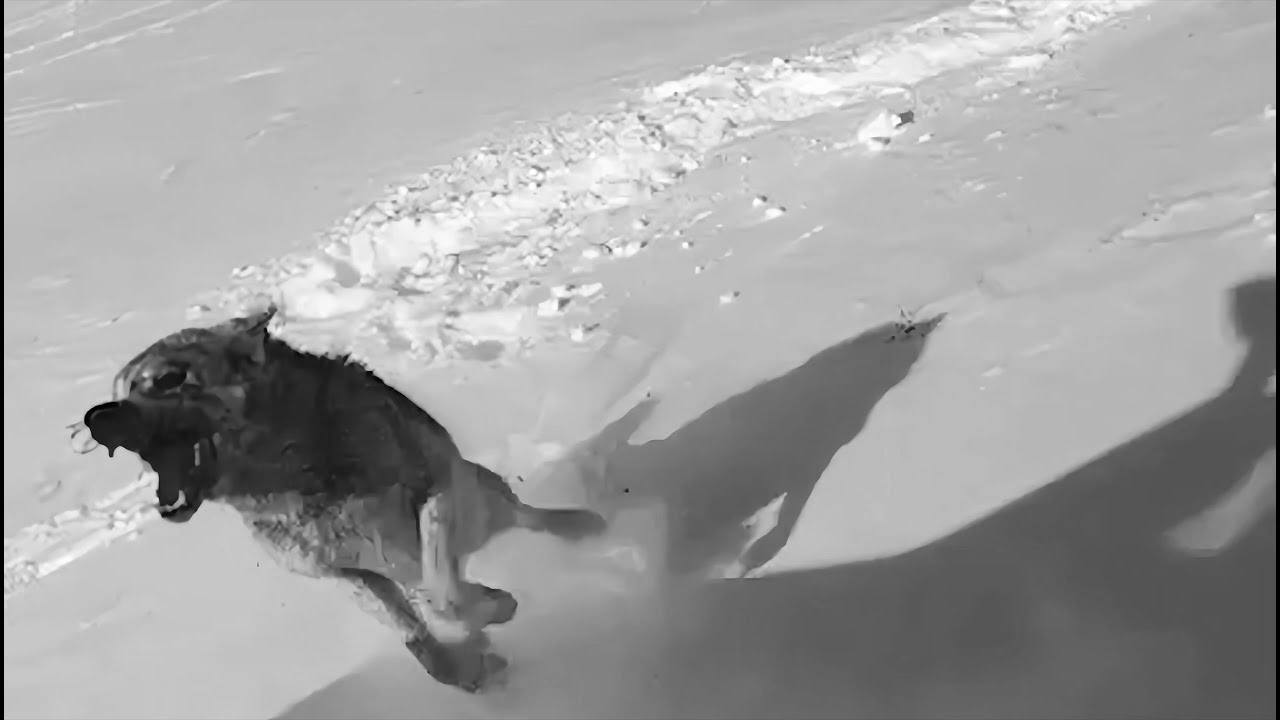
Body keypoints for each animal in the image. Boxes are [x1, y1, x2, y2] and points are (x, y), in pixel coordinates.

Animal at [78, 305, 607, 692]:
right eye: (118, 390)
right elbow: (413, 628)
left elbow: (447, 596)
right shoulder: (344, 573)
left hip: (480, 495)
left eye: (169, 378)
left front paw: (495, 605)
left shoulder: (436, 489)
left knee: (523, 516)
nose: (96, 417)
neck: (290, 471)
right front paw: (462, 666)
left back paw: (579, 526)